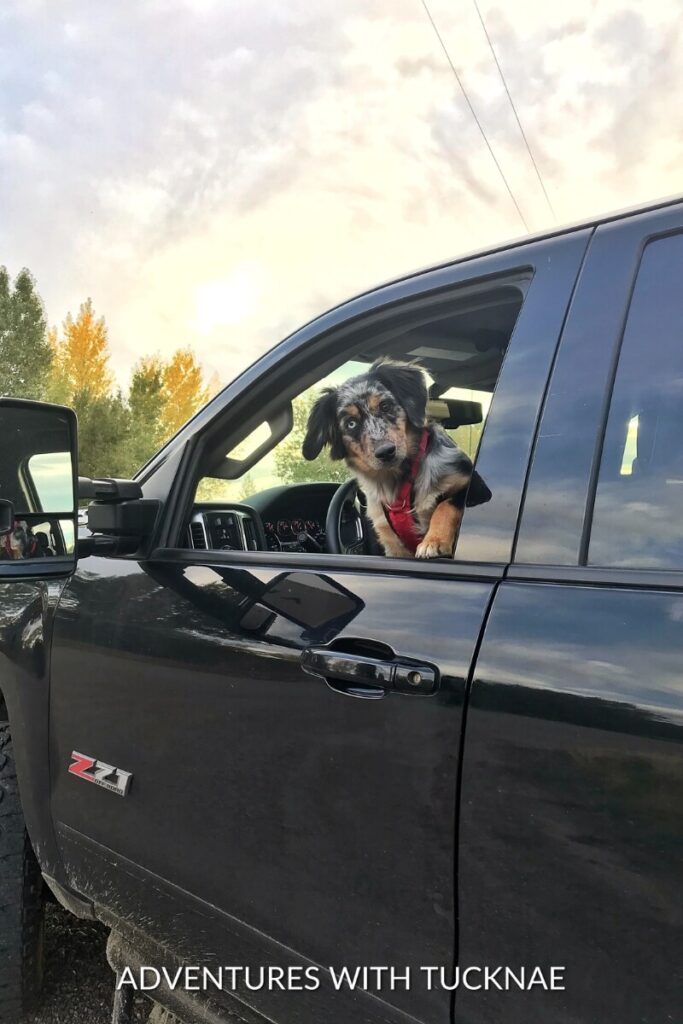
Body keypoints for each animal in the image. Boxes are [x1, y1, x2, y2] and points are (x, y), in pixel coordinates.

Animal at [303, 360, 491, 561]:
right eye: (351, 423)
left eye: (385, 406)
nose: (385, 452)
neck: (401, 479)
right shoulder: (391, 542)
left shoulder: (476, 486)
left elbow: (445, 504)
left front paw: (434, 541)